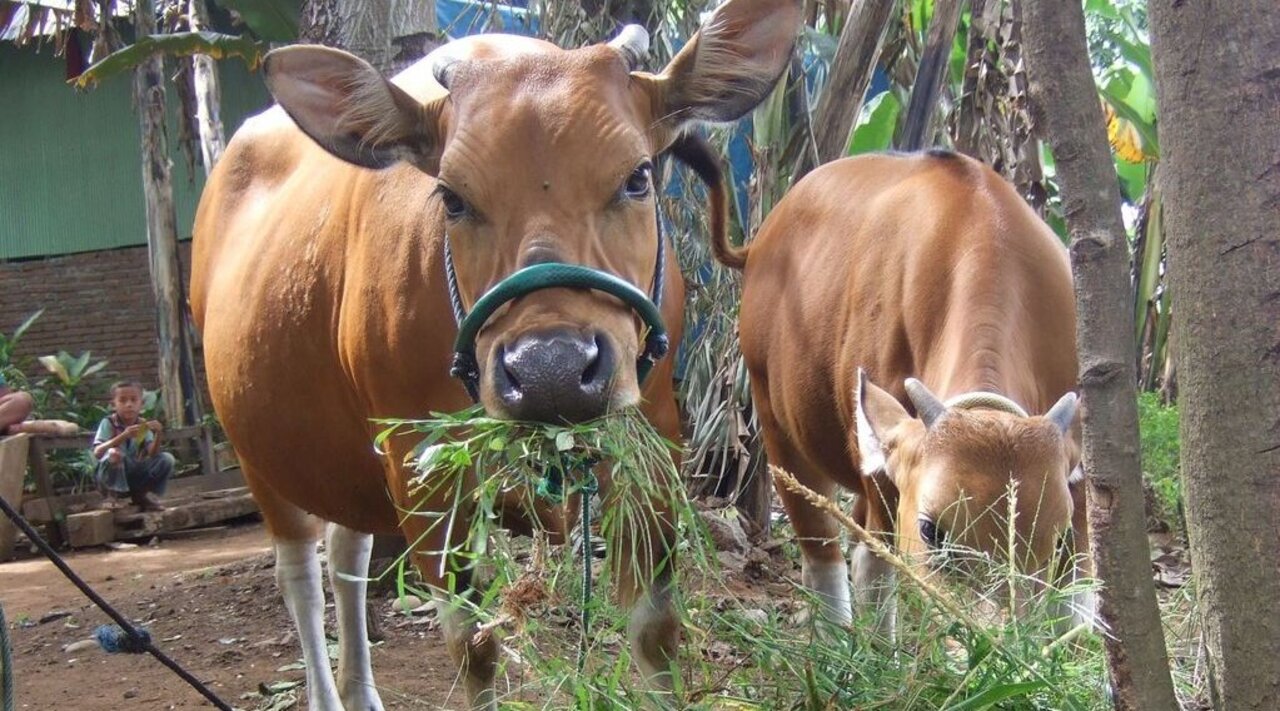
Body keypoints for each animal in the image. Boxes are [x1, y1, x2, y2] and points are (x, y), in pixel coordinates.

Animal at [190, 0, 802, 708]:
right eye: (452, 198)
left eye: (638, 176)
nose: (550, 370)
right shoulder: (422, 469)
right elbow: (475, 647)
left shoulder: (651, 443)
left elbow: (656, 631)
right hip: (258, 457)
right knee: (301, 581)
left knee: (347, 556)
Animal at [724, 150, 1092, 636]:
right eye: (933, 531)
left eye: (1058, 535)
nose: (993, 639)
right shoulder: (885, 471)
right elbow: (878, 572)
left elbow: (1079, 601)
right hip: (778, 425)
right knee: (823, 549)